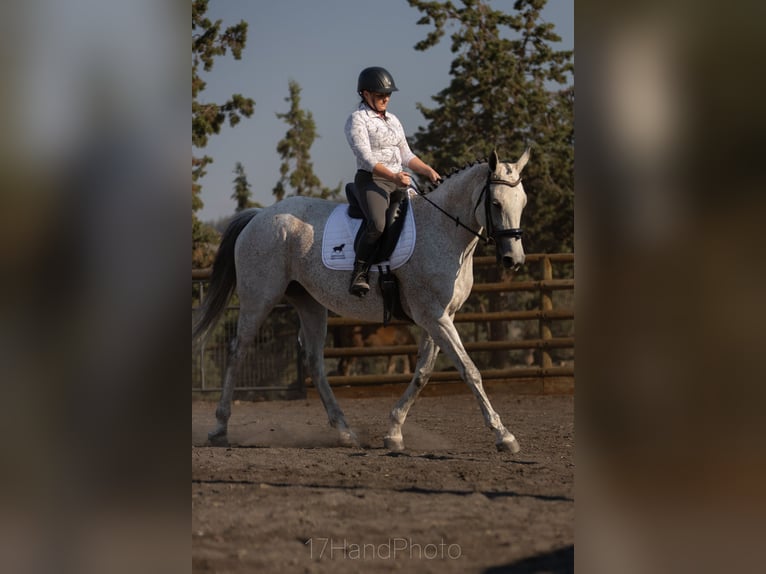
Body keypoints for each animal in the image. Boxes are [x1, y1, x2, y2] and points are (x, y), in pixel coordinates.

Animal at [192, 148, 530, 452]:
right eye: (496, 203)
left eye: (523, 202)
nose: (513, 260)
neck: (444, 230)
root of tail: (257, 216)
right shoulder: (434, 316)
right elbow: (469, 370)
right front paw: (504, 436)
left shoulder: (441, 316)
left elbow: (423, 373)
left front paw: (394, 432)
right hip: (259, 298)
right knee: (238, 351)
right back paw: (220, 428)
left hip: (309, 303)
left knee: (314, 361)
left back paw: (345, 432)